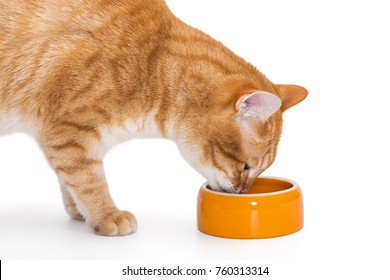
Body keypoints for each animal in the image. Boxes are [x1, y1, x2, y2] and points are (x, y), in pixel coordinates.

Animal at [0, 0, 308, 235]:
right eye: (246, 166)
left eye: (259, 170)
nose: (244, 192)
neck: (151, 63)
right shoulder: (67, 131)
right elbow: (89, 180)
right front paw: (105, 215)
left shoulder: (65, 141)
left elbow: (68, 178)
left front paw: (79, 211)